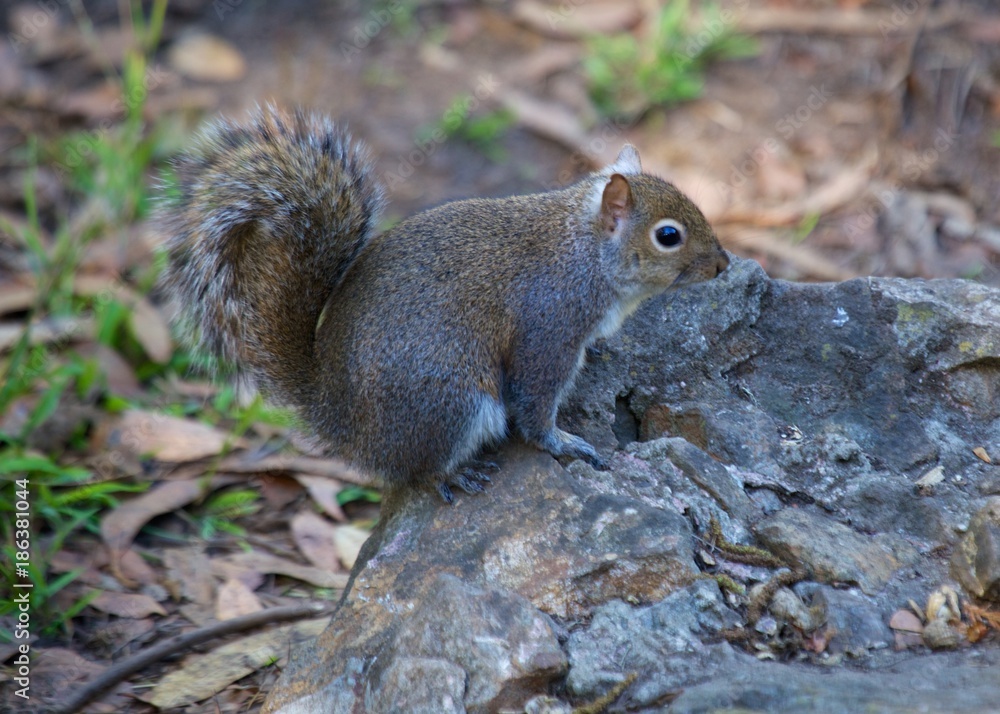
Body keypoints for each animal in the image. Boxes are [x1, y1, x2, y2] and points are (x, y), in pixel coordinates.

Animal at [162, 106, 729, 503]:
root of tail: (338, 419)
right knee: (417, 471)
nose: (724, 265)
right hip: (451, 401)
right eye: (668, 236)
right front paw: (563, 443)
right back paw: (454, 474)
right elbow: (534, 403)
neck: (584, 251)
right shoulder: (548, 325)